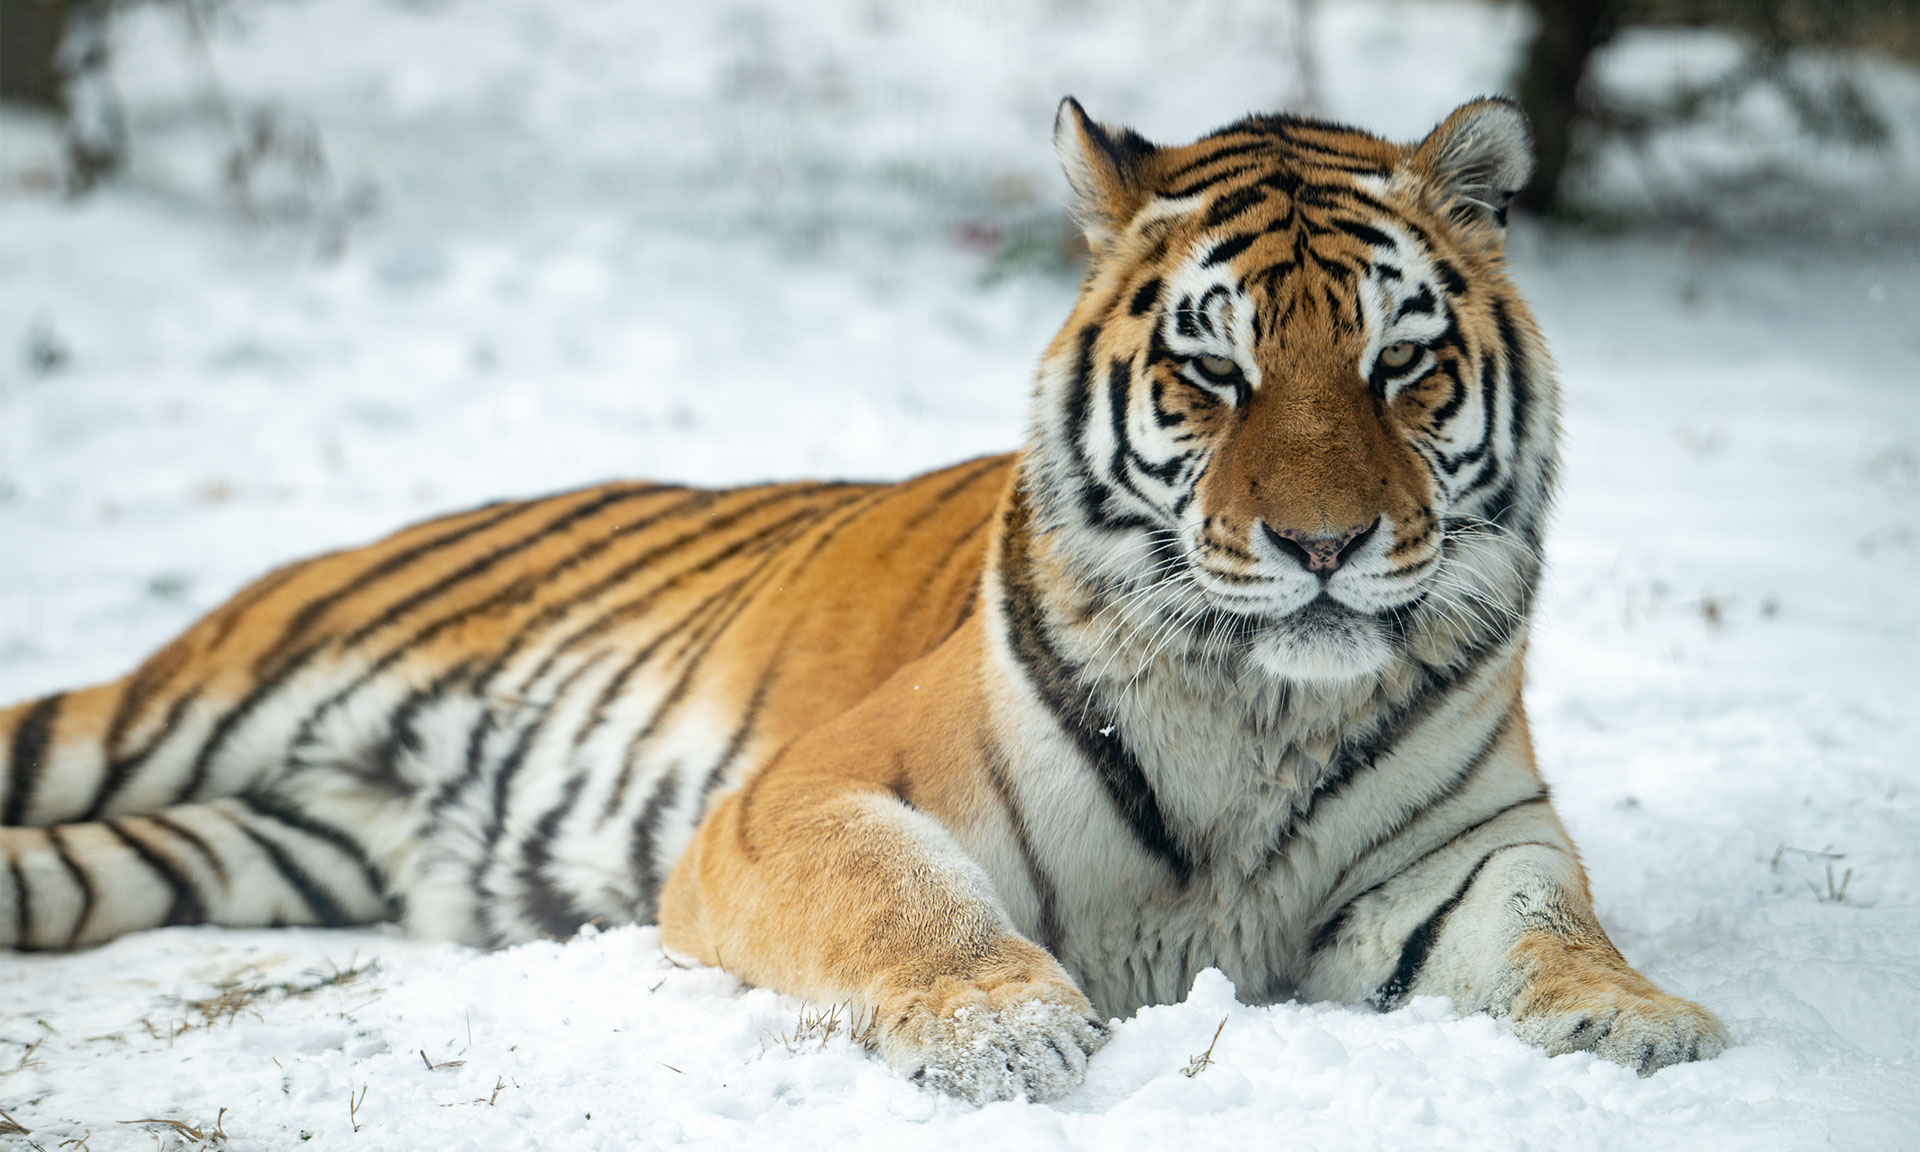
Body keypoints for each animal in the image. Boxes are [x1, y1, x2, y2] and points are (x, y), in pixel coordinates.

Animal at [0, 96, 1726, 1102]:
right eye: (1213, 374)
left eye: (1401, 363)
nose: (1320, 544)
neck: (1257, 708)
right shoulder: (805, 796)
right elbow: (905, 899)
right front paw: (1006, 1030)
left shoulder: (1471, 845)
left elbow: (1551, 925)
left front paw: (1640, 1018)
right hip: (153, 716)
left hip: (244, 844)